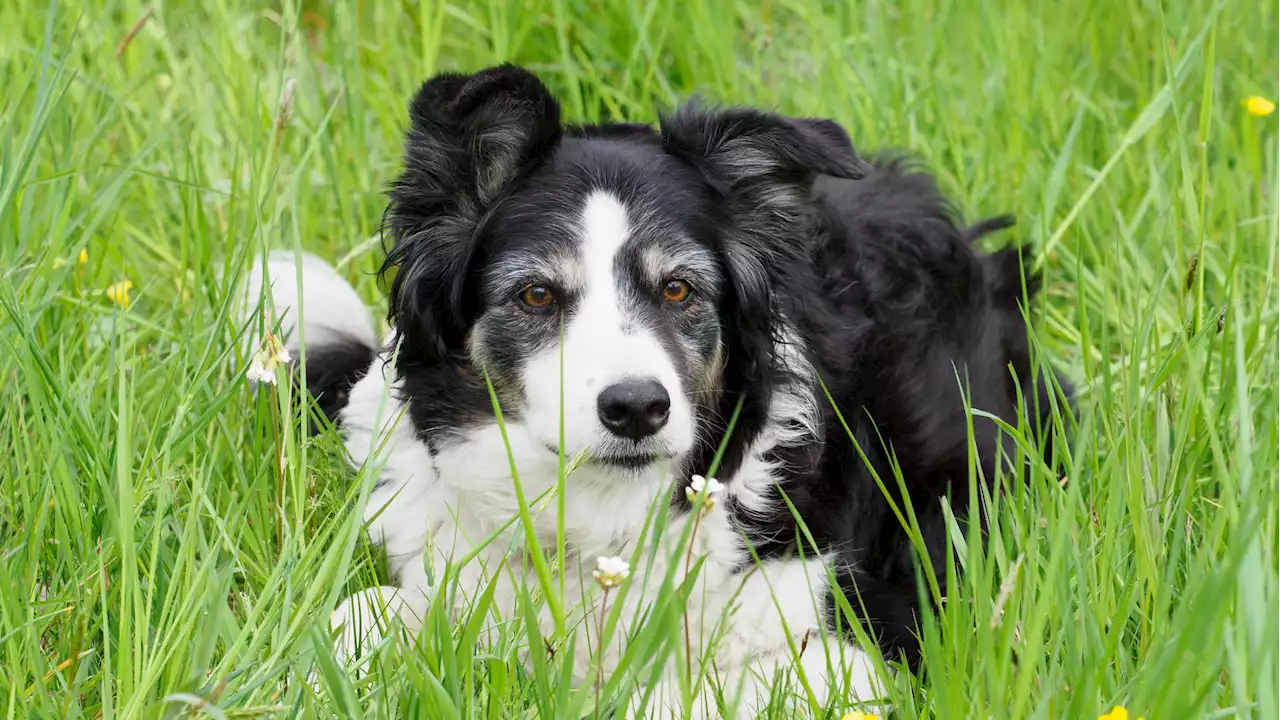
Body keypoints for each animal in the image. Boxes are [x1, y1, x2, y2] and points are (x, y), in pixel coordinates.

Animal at [240, 64, 1070, 712]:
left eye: (678, 289)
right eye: (536, 295)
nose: (637, 408)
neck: (598, 521)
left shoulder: (875, 637)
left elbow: (680, 694)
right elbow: (354, 618)